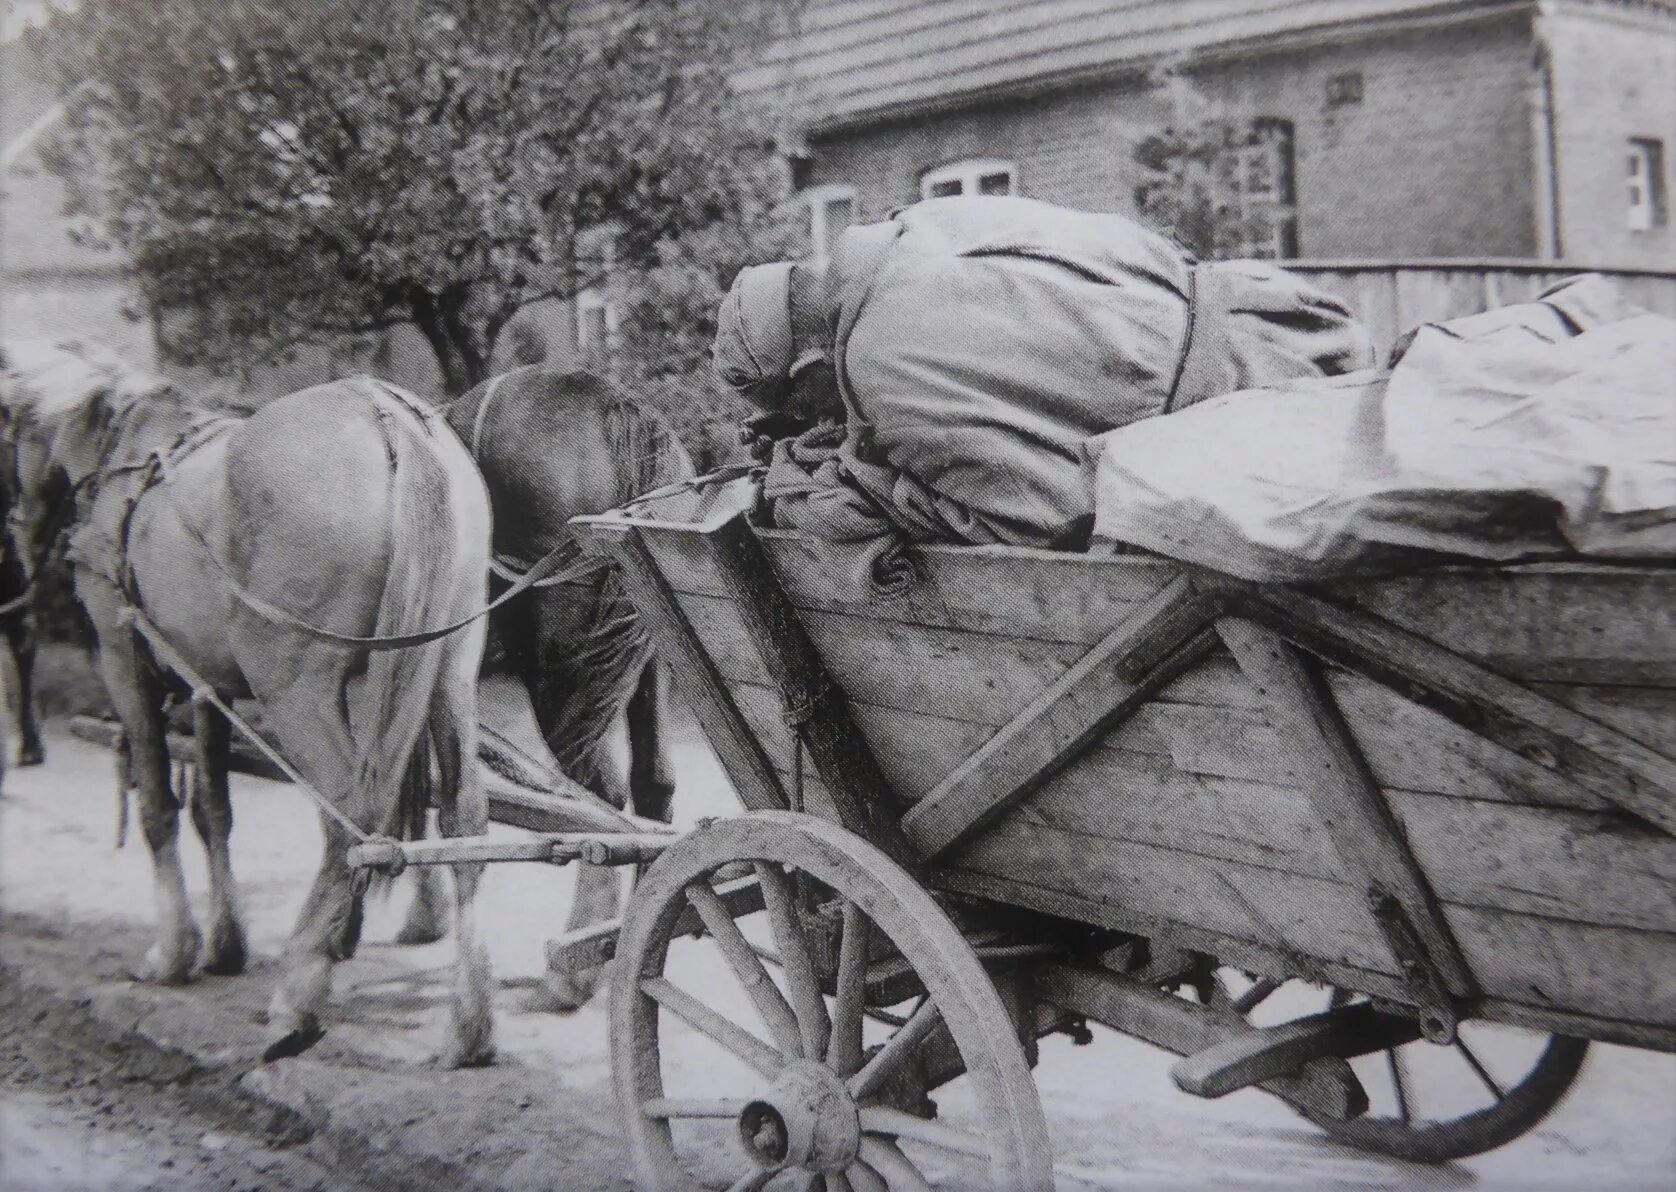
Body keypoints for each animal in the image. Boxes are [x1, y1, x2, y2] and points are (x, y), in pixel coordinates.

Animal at [13, 370, 496, 1066]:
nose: (18, 537)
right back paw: (468, 1026)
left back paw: (299, 993)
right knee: (462, 821)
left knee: (349, 819)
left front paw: (174, 952)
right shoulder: (207, 686)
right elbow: (212, 808)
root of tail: (389, 417)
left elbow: (158, 806)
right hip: (448, 671)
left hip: (293, 687)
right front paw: (225, 944)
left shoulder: (123, 664)